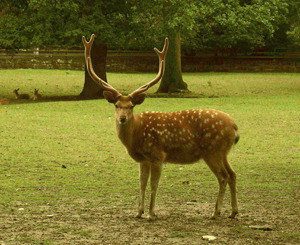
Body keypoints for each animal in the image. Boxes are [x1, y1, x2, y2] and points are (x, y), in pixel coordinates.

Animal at [83, 33, 240, 219]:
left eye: (131, 106)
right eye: (116, 105)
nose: (122, 118)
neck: (136, 136)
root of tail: (235, 127)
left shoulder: (158, 154)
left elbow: (154, 184)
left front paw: (151, 213)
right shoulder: (143, 159)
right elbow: (142, 183)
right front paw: (138, 212)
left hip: (212, 151)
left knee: (223, 177)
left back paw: (216, 212)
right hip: (223, 152)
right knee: (232, 174)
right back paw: (233, 212)